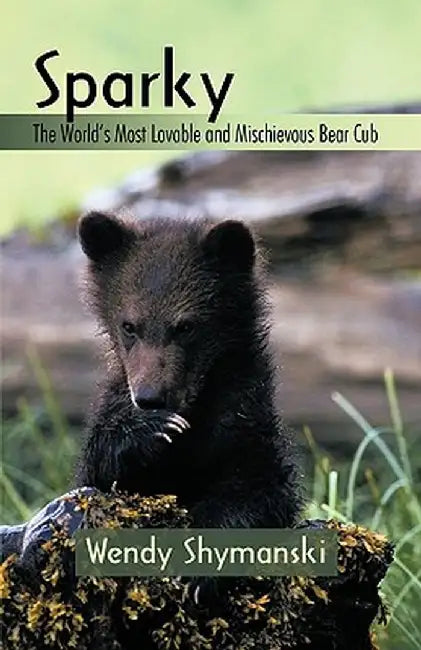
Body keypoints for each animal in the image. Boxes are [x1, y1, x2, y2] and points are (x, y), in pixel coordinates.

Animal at [76, 211, 303, 530]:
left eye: (185, 326)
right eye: (129, 325)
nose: (150, 397)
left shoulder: (243, 425)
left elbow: (258, 489)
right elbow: (98, 473)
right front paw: (155, 428)